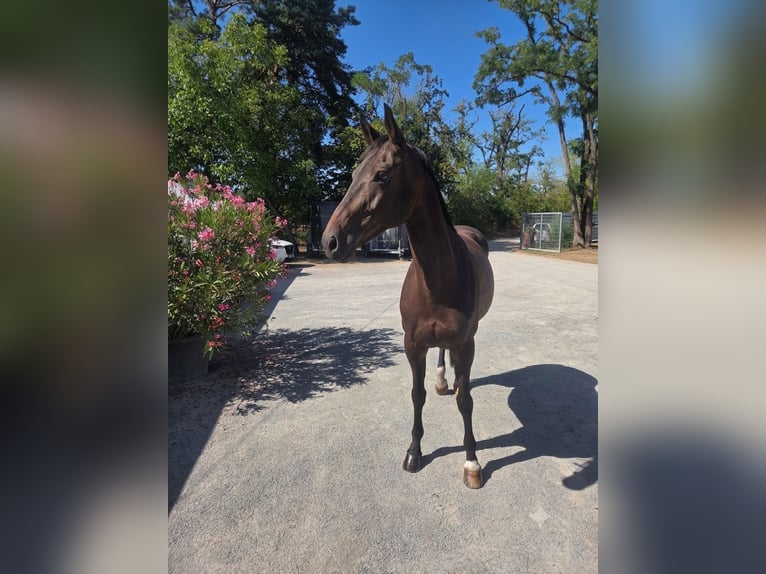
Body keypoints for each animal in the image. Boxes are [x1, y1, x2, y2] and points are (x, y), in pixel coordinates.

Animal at [322, 104, 494, 488]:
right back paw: (443, 379)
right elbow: (417, 395)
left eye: (382, 174)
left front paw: (472, 462)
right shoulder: (412, 344)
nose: (331, 241)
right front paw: (414, 453)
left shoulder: (467, 343)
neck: (437, 279)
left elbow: (467, 401)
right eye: (353, 173)